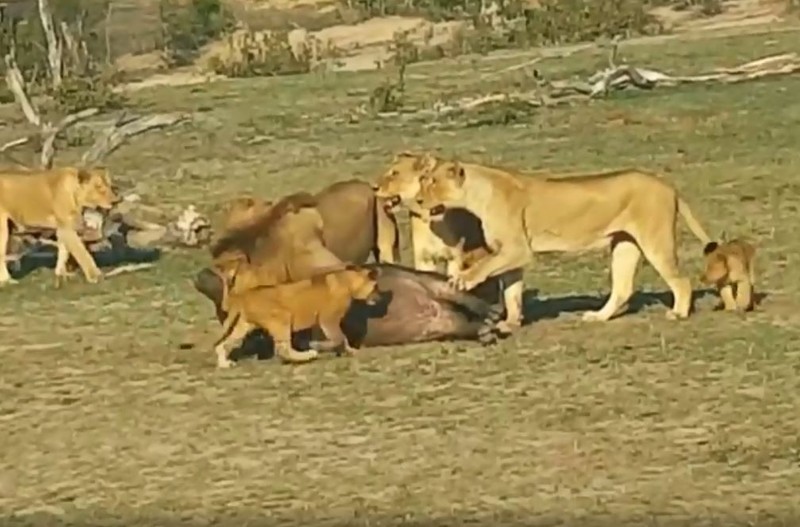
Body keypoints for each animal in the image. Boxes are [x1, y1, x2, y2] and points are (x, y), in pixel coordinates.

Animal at [212, 266, 382, 370]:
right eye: (376, 287)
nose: (379, 298)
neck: (348, 282)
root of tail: (243, 295)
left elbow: (343, 339)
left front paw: (351, 351)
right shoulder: (327, 319)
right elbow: (339, 338)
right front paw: (316, 345)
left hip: (245, 325)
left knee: (224, 344)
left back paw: (224, 364)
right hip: (282, 317)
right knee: (283, 350)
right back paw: (309, 355)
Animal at [416, 159, 716, 328]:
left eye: (432, 183)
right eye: (424, 181)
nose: (418, 199)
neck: (477, 194)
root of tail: (668, 186)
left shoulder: (518, 249)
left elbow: (485, 267)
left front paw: (462, 280)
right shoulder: (512, 255)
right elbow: (512, 292)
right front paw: (511, 323)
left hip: (654, 239)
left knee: (681, 281)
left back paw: (678, 313)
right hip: (624, 244)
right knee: (623, 288)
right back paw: (598, 317)